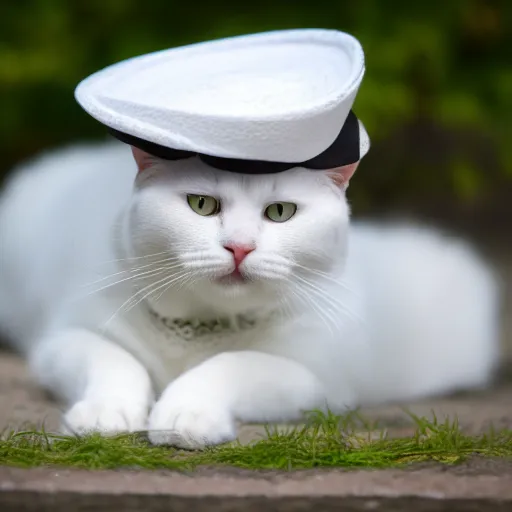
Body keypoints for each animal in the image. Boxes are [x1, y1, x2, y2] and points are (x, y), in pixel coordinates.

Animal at [0, 140, 500, 448]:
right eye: (202, 204)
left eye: (280, 212)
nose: (239, 247)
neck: (198, 325)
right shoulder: (64, 338)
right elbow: (113, 361)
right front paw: (106, 413)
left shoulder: (319, 382)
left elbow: (232, 363)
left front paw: (186, 413)